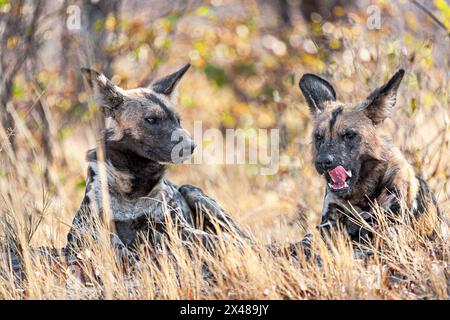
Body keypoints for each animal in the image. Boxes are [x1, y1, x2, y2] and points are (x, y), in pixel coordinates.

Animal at [67, 63, 248, 264]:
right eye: (151, 120)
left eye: (178, 120)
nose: (191, 146)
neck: (133, 186)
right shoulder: (82, 231)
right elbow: (115, 245)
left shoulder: (176, 228)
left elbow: (210, 239)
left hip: (193, 192)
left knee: (240, 236)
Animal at [298, 70, 440, 244]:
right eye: (318, 137)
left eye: (349, 135)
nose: (323, 161)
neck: (361, 193)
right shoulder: (328, 224)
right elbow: (308, 240)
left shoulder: (393, 227)